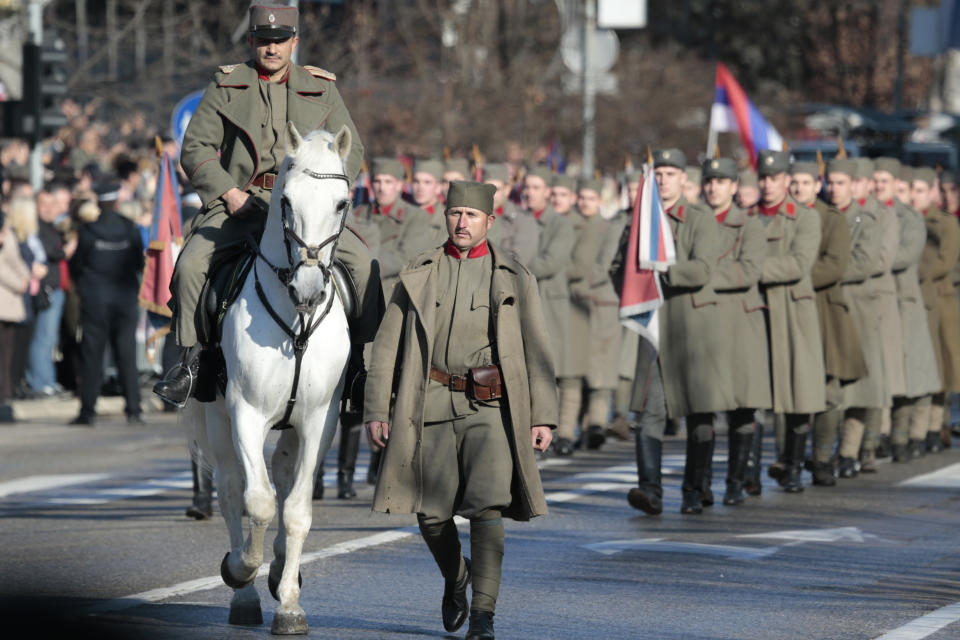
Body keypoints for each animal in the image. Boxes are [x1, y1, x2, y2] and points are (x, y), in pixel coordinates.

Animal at [184, 121, 352, 636]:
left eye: (341, 203)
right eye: (287, 200)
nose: (309, 289)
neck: (295, 321)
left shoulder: (319, 421)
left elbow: (295, 510)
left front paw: (290, 603)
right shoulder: (246, 413)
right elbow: (256, 502)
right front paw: (241, 570)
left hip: (291, 427)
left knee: (280, 475)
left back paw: (279, 571)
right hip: (217, 419)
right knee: (231, 489)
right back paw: (245, 592)